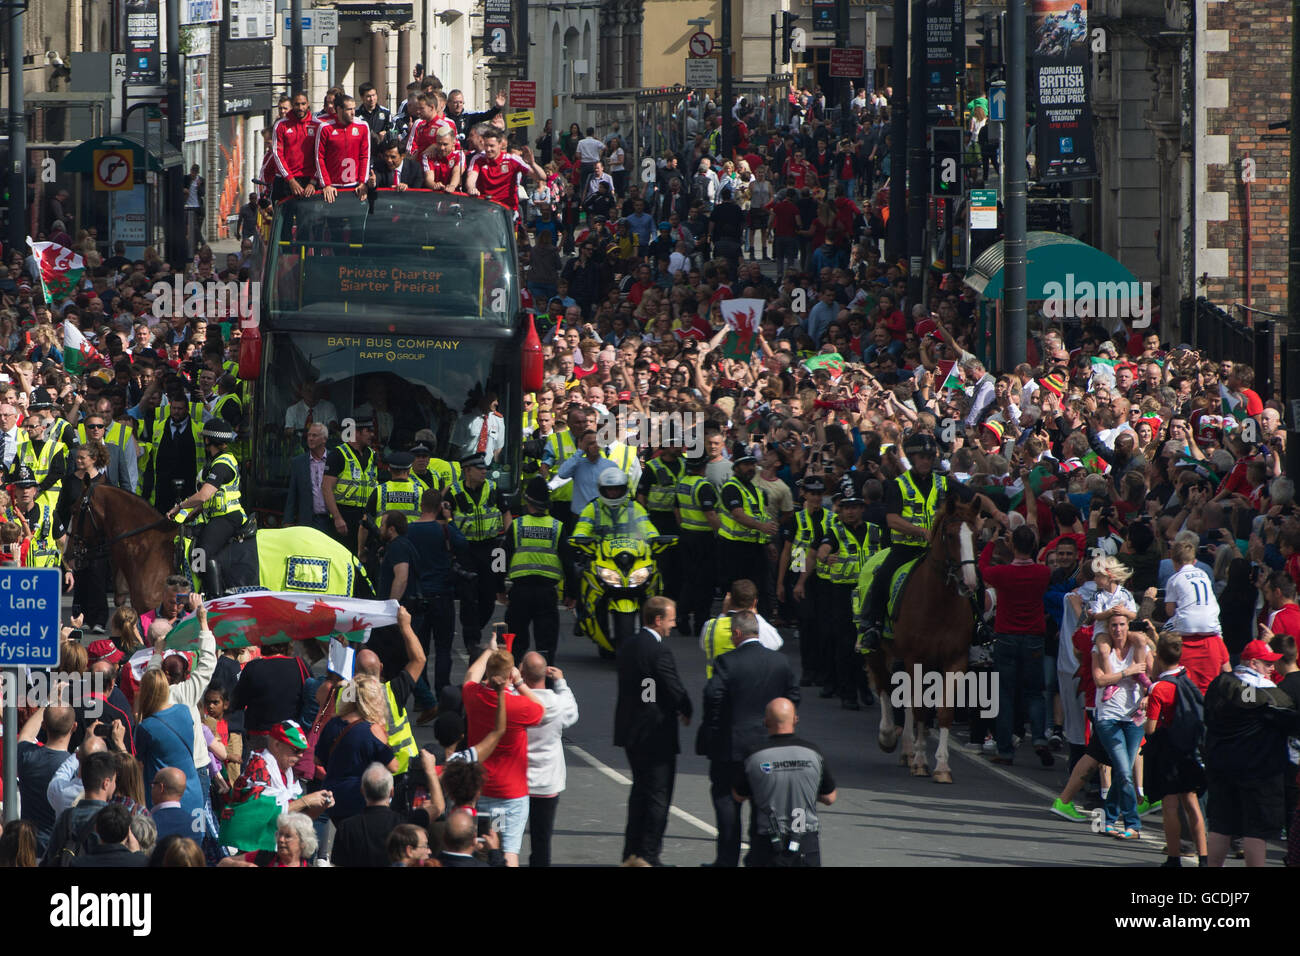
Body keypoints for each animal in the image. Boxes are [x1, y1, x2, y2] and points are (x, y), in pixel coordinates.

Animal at [863, 496, 982, 780]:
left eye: (977, 536)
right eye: (950, 535)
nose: (970, 583)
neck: (939, 604)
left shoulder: (955, 661)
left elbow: (943, 710)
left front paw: (941, 766)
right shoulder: (915, 658)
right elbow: (919, 707)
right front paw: (920, 761)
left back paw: (906, 749)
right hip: (878, 651)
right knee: (884, 687)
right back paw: (888, 737)